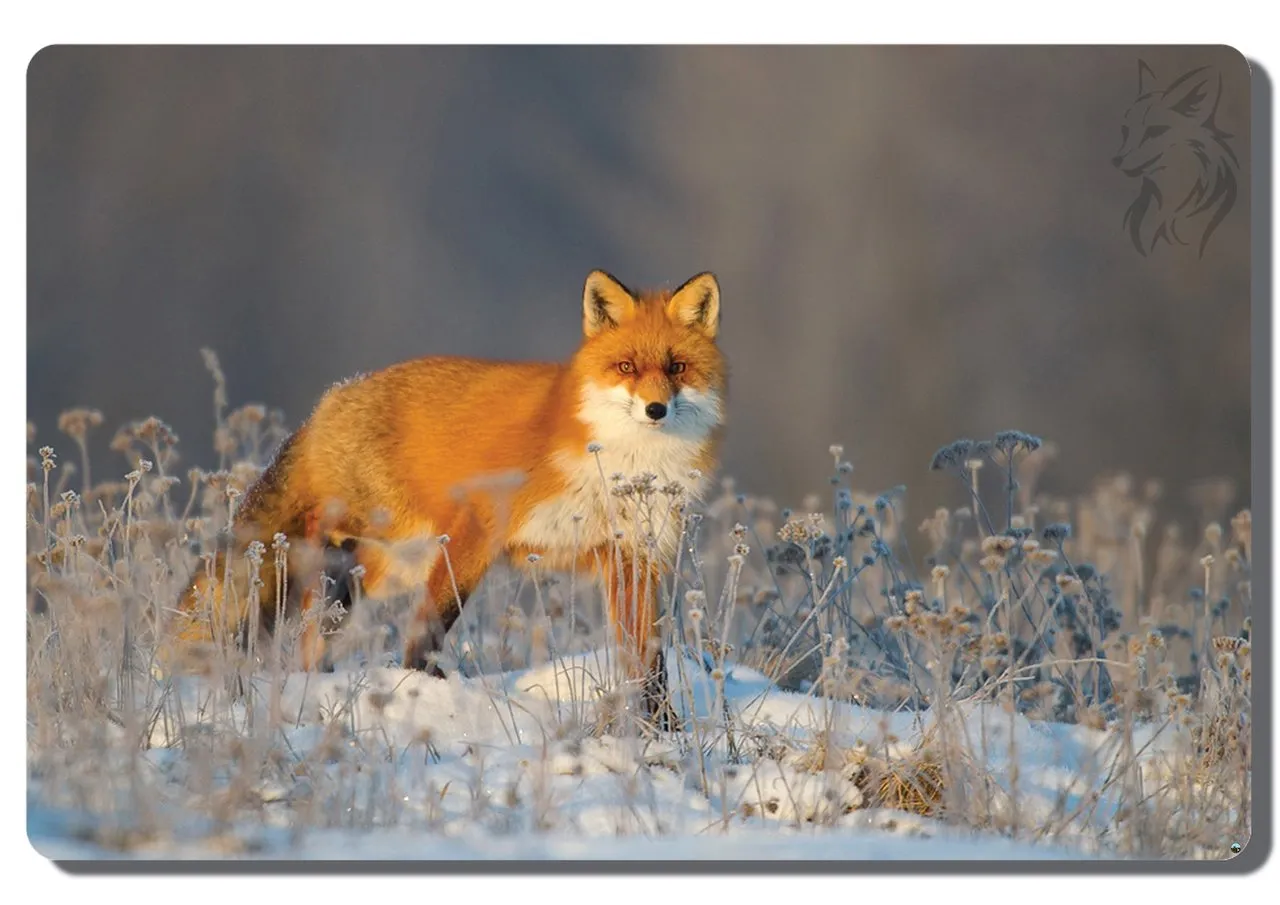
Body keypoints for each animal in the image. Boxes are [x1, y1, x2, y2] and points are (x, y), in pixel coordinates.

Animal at [168, 268, 727, 716]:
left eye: (676, 367)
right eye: (627, 367)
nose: (655, 409)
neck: (619, 466)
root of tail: (333, 397)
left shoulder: (632, 556)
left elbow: (649, 660)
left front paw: (662, 725)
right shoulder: (478, 525)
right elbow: (431, 623)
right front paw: (422, 686)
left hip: (385, 568)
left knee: (312, 634)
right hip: (390, 534)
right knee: (310, 548)